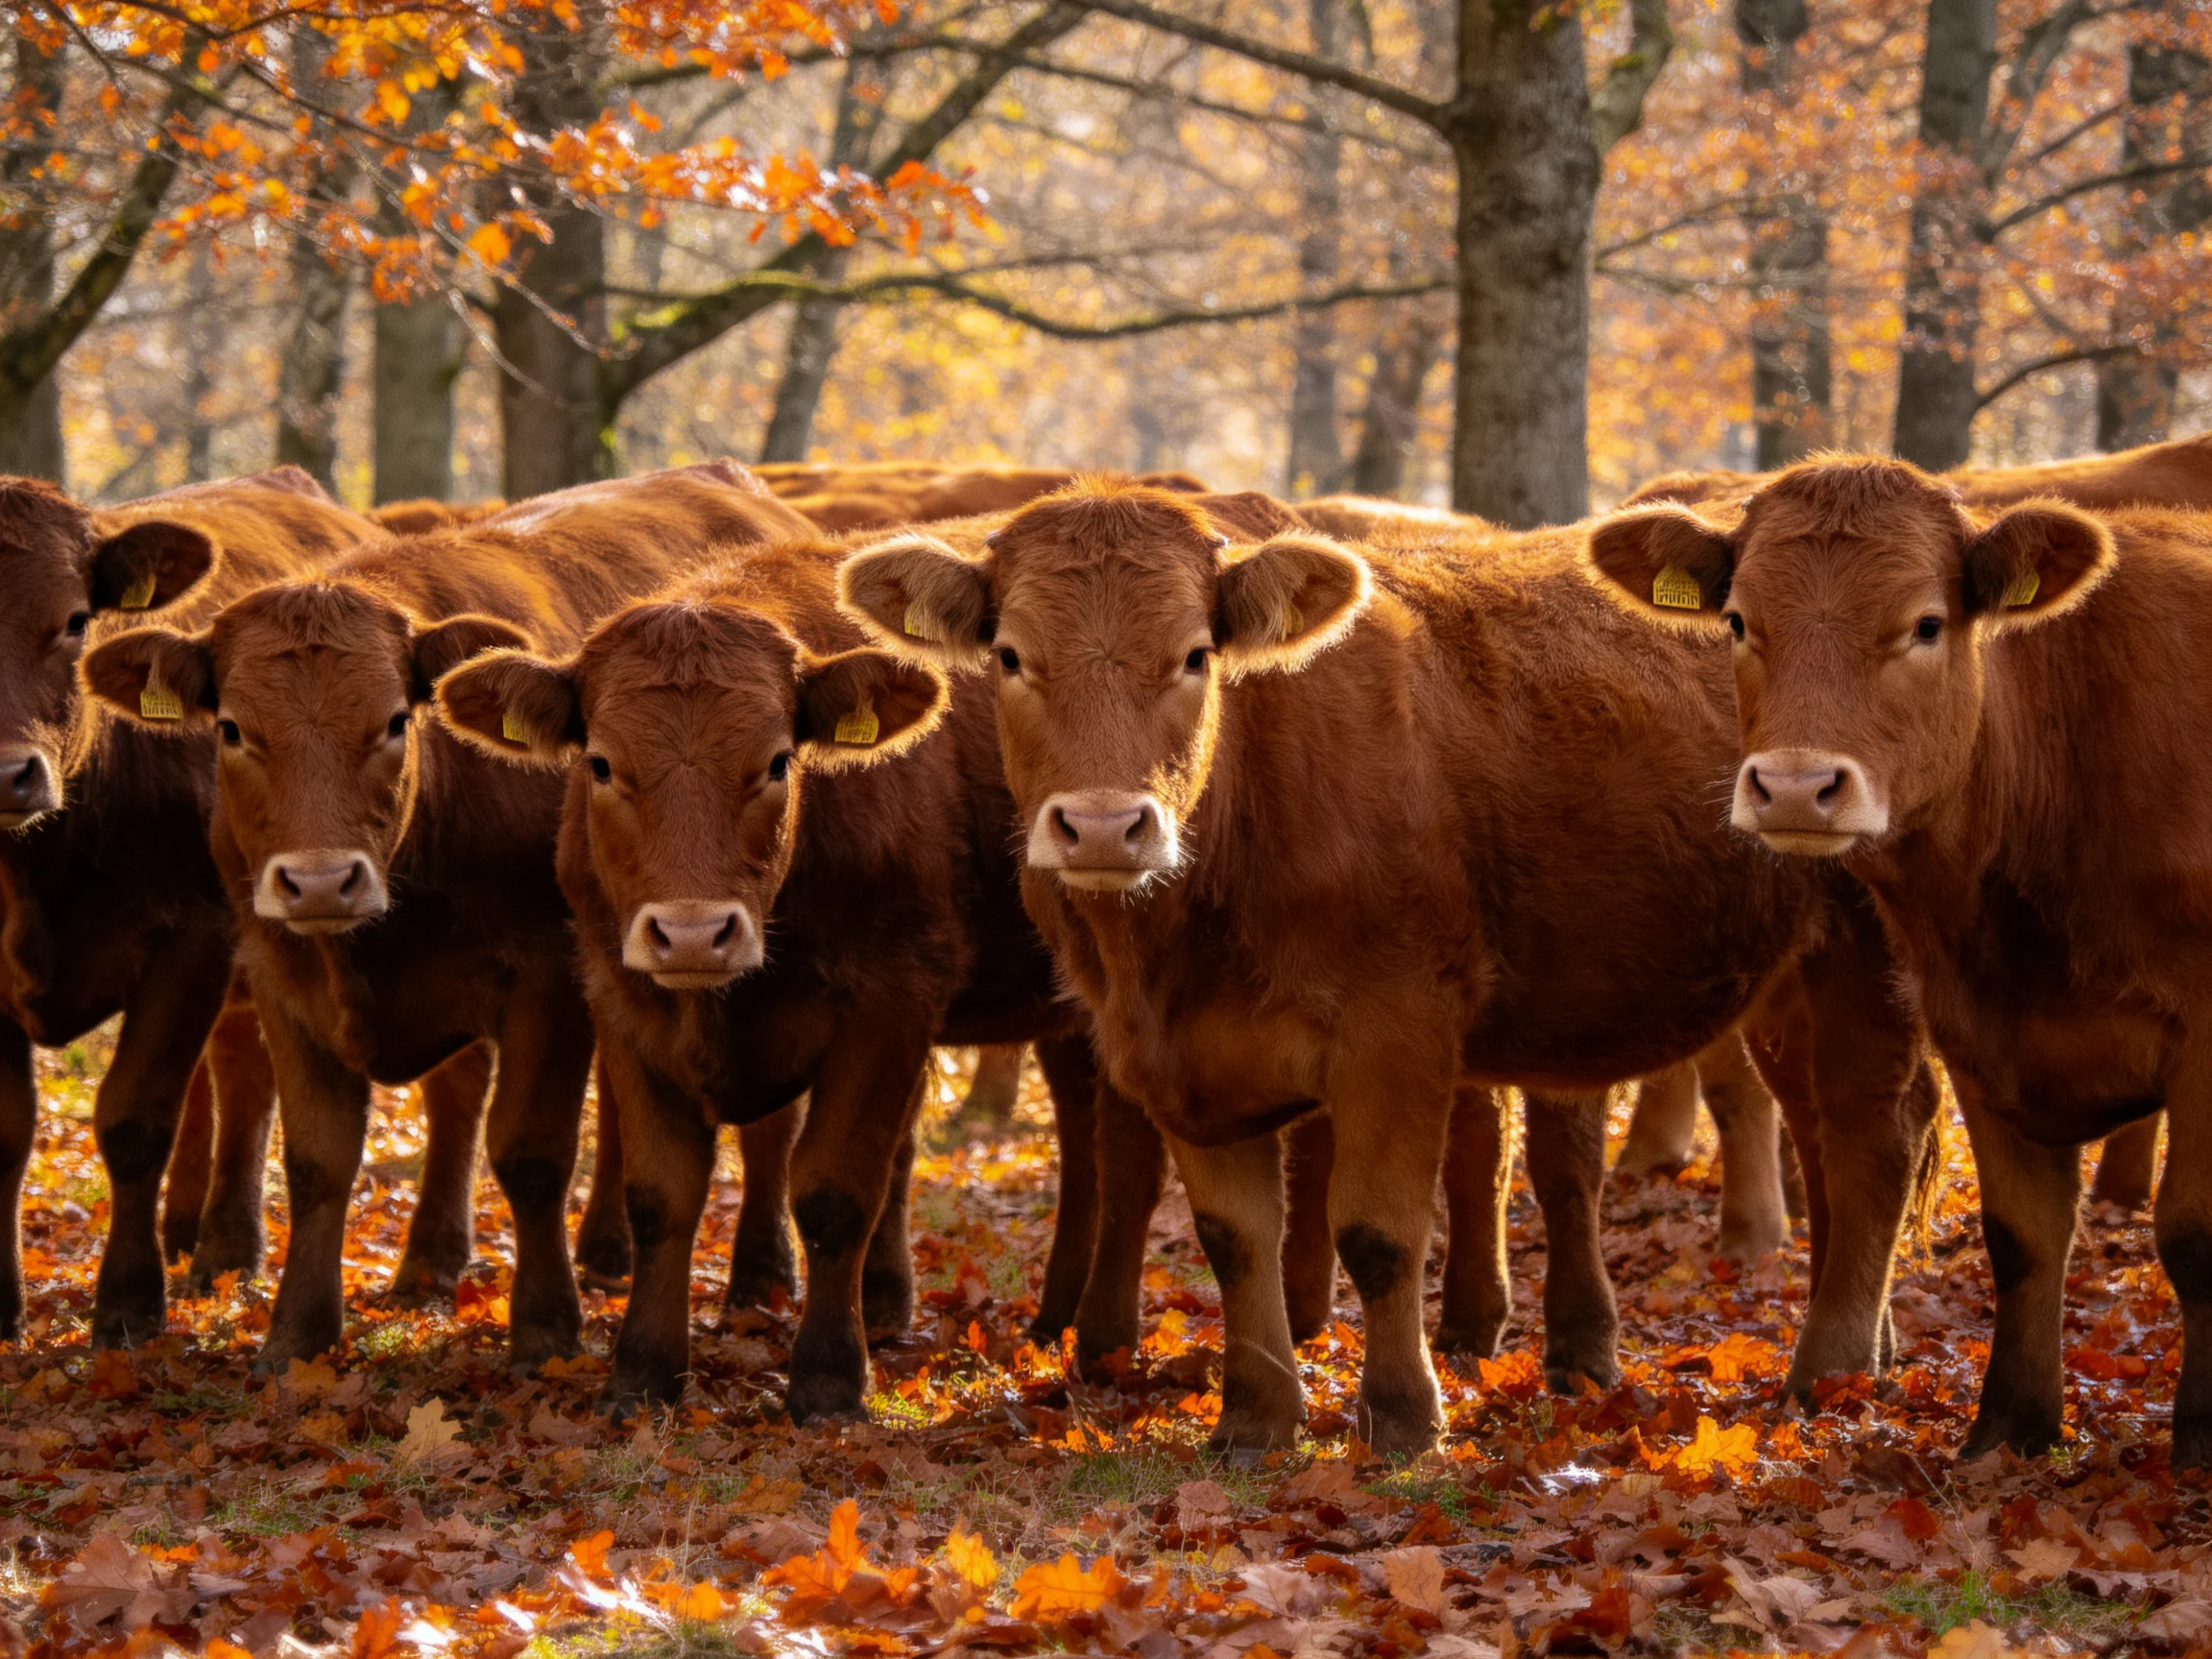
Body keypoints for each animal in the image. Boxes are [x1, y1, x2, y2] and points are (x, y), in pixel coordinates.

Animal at [0, 467, 375, 1344]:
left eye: (75, 620)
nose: (5, 773)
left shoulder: (192, 937)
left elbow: (137, 1117)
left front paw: (129, 1305)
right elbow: (5, 1131)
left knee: (242, 1071)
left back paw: (225, 1249)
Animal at [81, 463, 815, 1371]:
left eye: (396, 720)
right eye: (232, 728)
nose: (319, 883)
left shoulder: (547, 979)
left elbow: (532, 1152)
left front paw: (543, 1327)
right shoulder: (282, 967)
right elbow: (318, 1157)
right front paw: (297, 1333)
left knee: (767, 1123)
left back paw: (758, 1278)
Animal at [836, 482, 1936, 1455]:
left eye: (1193, 655)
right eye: (1011, 655)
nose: (1104, 824)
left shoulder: (1396, 1032)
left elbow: (1377, 1230)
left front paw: (1403, 1417)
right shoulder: (1179, 1059)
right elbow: (1237, 1238)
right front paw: (1255, 1421)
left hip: (1867, 957)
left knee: (1875, 1139)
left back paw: (1829, 1370)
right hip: (1791, 981)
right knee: (1830, 1138)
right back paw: (1868, 1346)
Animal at [1580, 457, 2212, 1465]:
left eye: (1925, 624)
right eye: (1738, 621)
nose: (1795, 786)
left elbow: (2192, 1230)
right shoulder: (1979, 1028)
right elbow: (2020, 1236)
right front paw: (2009, 1431)